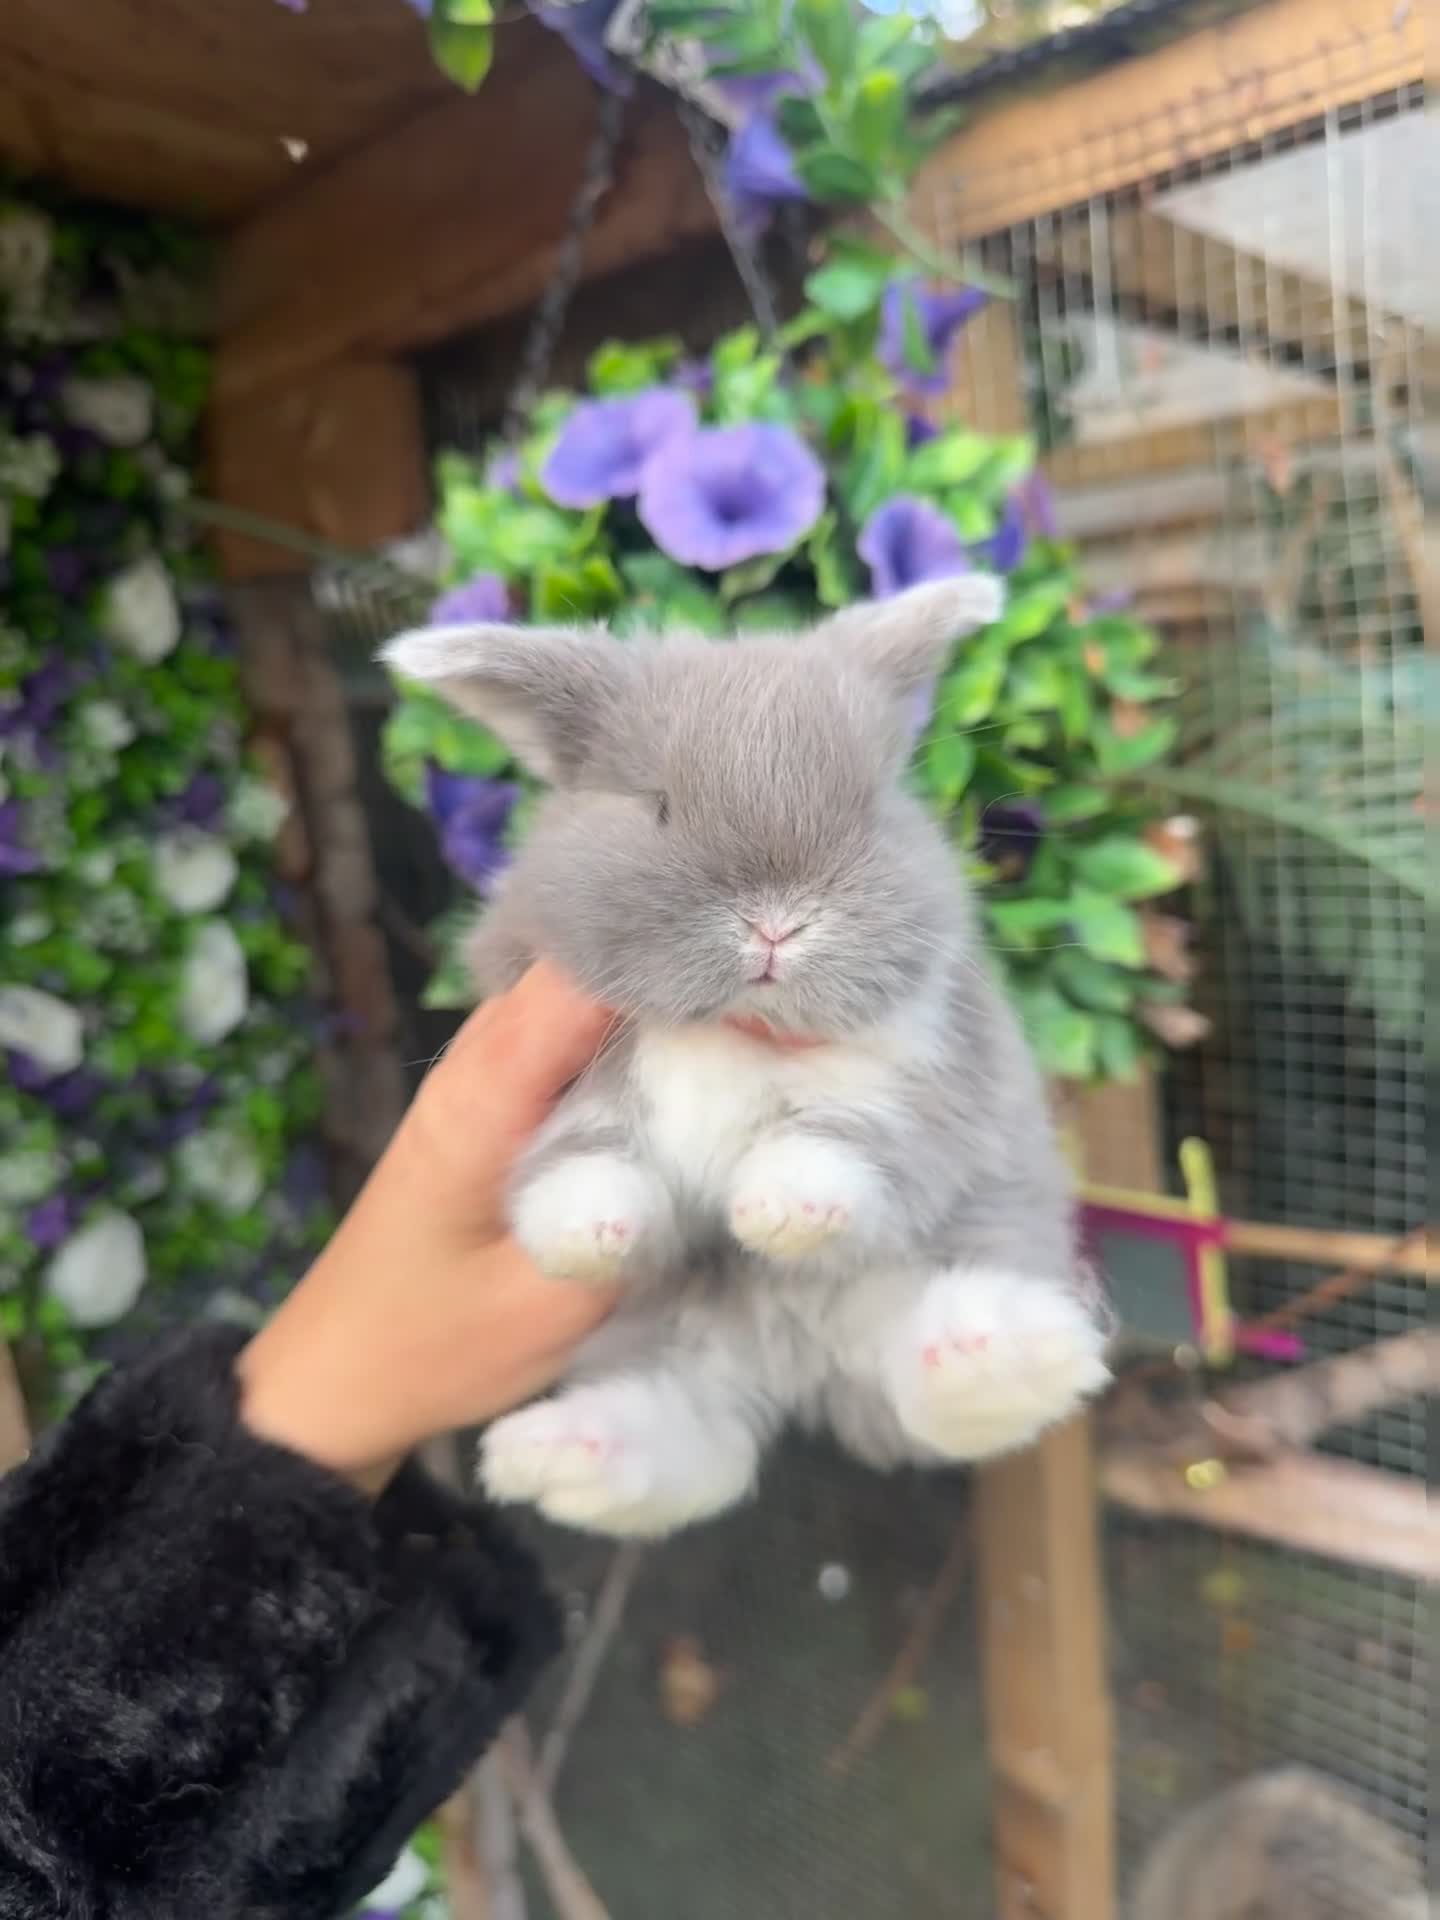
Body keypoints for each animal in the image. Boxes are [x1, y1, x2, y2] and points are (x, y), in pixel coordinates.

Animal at [382, 577, 1110, 1537]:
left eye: (872, 808)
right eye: (655, 804)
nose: (775, 925)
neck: (727, 1029)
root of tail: (792, 1361)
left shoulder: (927, 1084)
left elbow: (845, 1144)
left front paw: (780, 1212)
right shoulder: (563, 1082)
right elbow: (579, 1157)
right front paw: (587, 1236)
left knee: (919, 1389)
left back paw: (1005, 1351)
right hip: (665, 1345)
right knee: (701, 1445)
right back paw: (559, 1457)